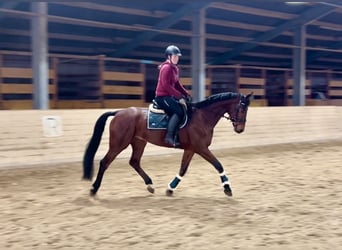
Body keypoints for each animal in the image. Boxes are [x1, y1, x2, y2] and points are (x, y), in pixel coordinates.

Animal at [83, 92, 252, 197]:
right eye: (242, 108)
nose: (240, 129)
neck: (202, 117)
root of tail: (118, 112)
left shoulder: (191, 149)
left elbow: (183, 169)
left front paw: (170, 188)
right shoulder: (201, 148)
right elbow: (218, 165)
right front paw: (227, 188)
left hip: (139, 142)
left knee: (134, 162)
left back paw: (150, 185)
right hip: (119, 143)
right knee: (105, 162)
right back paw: (94, 188)